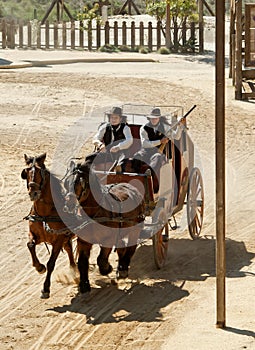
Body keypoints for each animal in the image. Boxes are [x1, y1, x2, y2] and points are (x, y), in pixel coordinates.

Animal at [20, 153, 75, 298]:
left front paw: (45, 288)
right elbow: (30, 245)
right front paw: (39, 267)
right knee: (69, 249)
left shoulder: (59, 239)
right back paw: (74, 269)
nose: (33, 193)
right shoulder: (36, 235)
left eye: (40, 171)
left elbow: (51, 263)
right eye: (26, 171)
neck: (45, 214)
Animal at [63, 160, 145, 294]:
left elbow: (101, 259)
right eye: (65, 183)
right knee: (122, 247)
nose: (68, 204)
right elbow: (82, 262)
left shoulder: (109, 239)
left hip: (135, 227)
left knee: (131, 246)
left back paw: (123, 268)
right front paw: (84, 285)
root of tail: (131, 187)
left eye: (79, 182)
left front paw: (107, 268)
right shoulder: (83, 241)